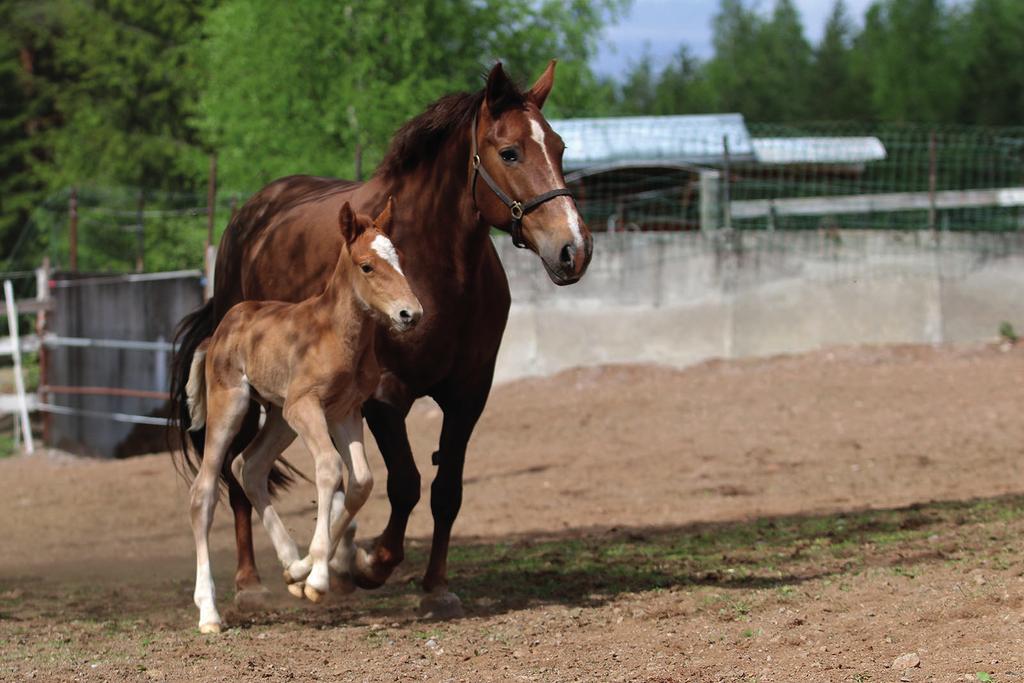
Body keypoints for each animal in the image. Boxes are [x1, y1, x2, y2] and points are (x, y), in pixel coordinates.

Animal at [186, 198, 421, 634]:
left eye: (399, 259)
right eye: (367, 266)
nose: (410, 314)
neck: (337, 335)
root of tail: (219, 330)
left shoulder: (345, 411)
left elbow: (361, 481)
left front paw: (304, 573)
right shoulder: (307, 405)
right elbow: (329, 467)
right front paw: (317, 580)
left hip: (279, 416)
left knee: (249, 466)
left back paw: (291, 563)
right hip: (236, 405)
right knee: (204, 491)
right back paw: (209, 613)